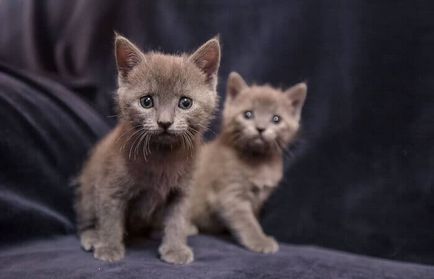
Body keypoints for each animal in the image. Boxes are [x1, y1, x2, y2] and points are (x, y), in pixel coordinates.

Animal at [74, 33, 220, 264]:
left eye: (185, 103)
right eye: (147, 101)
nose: (165, 122)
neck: (162, 156)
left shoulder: (183, 191)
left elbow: (177, 220)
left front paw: (175, 248)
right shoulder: (109, 186)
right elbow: (109, 218)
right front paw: (109, 247)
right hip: (87, 188)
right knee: (86, 217)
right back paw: (92, 237)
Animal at [188, 72, 306, 254]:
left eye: (276, 119)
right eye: (248, 114)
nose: (260, 128)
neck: (258, 161)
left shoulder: (259, 199)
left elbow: (253, 218)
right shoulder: (229, 194)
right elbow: (247, 221)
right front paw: (260, 241)